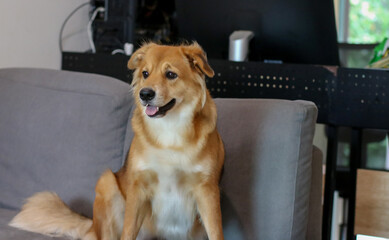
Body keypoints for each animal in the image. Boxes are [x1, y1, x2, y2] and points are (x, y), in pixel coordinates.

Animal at [9, 42, 224, 240]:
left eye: (171, 74)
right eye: (145, 73)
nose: (145, 94)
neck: (169, 131)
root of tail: (92, 226)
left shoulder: (207, 190)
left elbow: (216, 231)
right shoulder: (138, 187)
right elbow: (128, 231)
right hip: (107, 184)